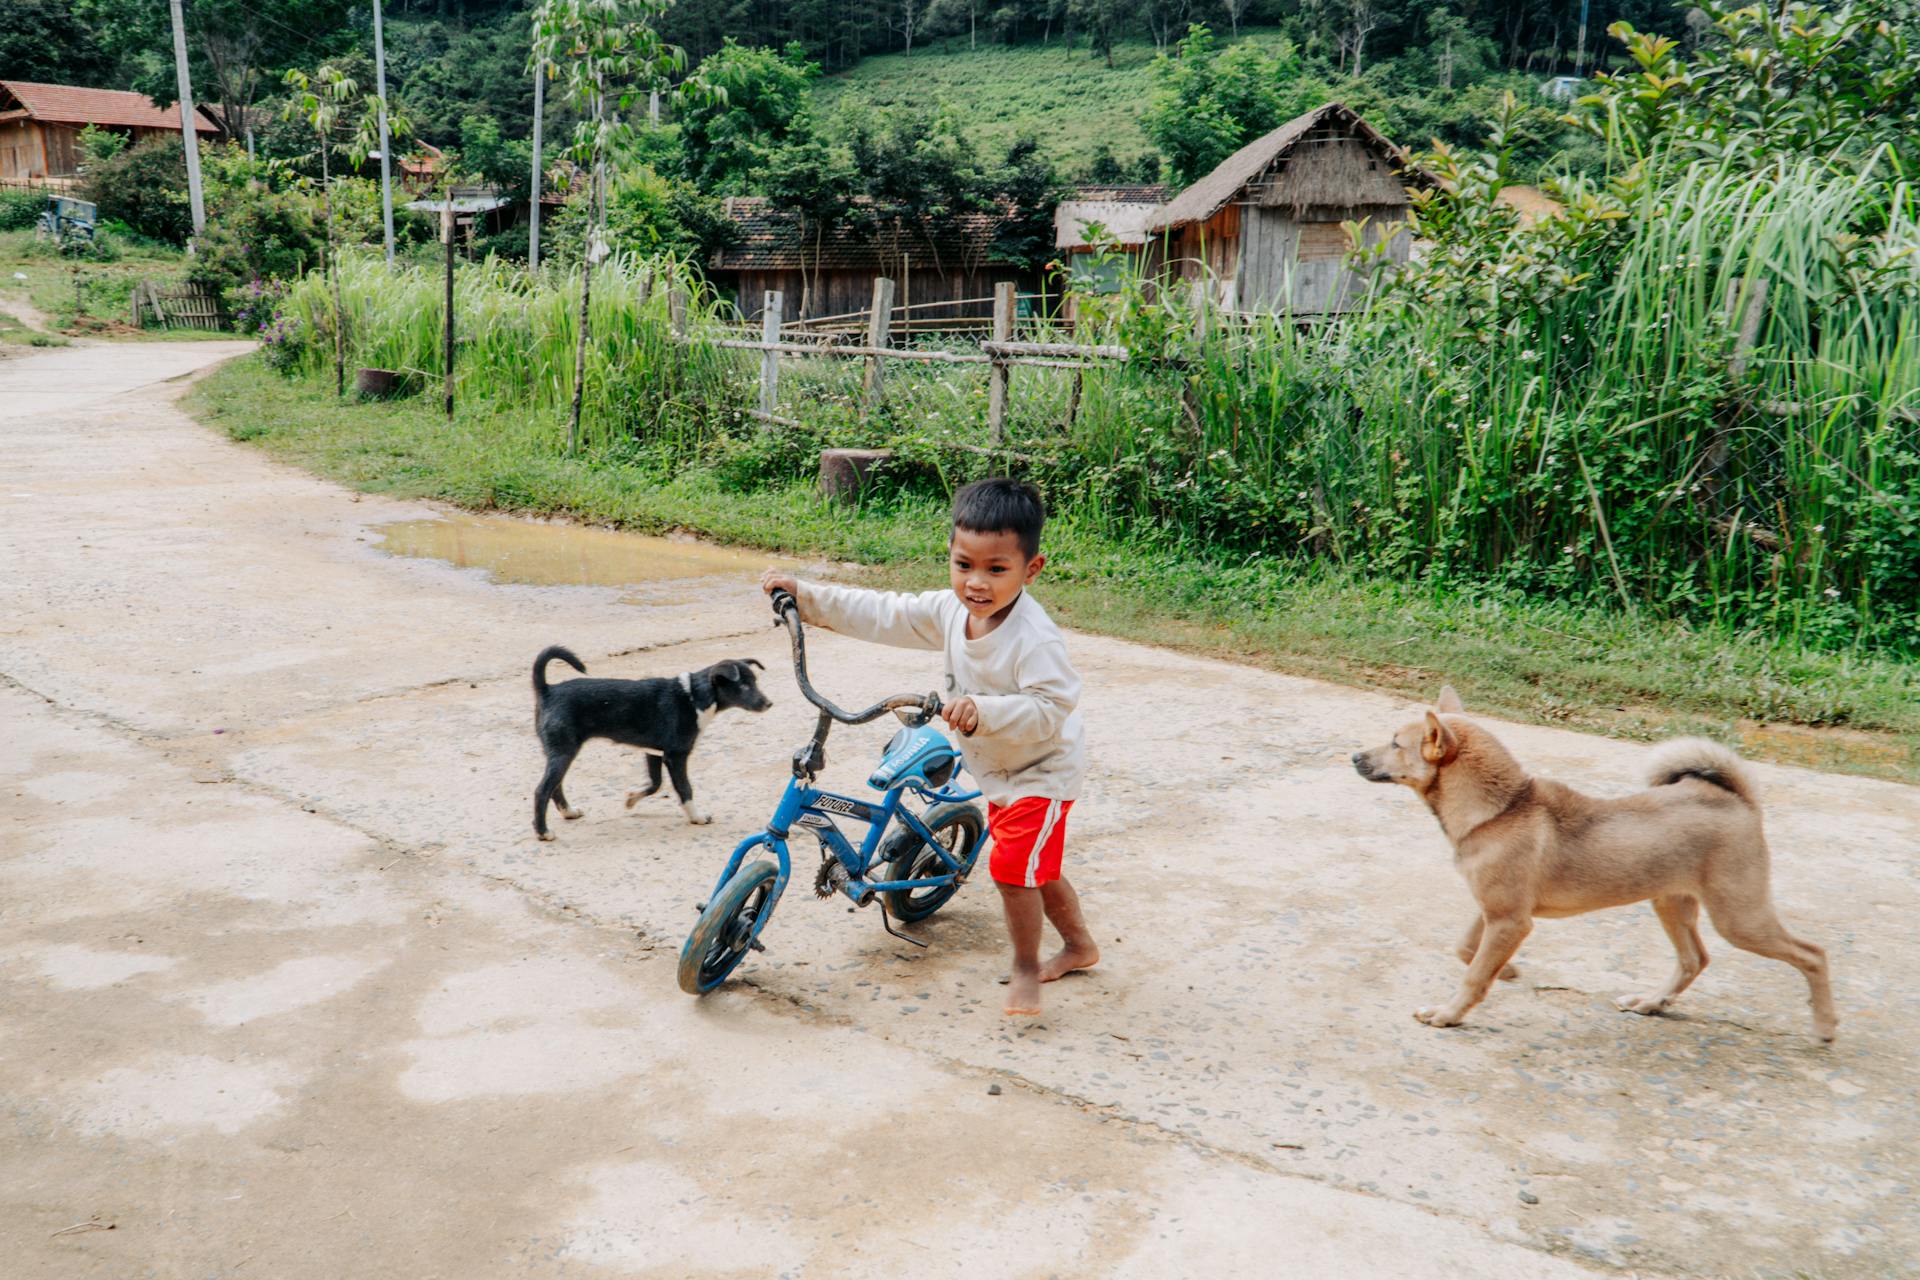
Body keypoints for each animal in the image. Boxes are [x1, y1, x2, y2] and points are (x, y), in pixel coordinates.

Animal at [529, 652, 768, 840]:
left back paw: (568, 812)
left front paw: (631, 799)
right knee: (542, 790)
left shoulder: (654, 752)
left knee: (555, 786)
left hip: (560, 752)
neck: (694, 695)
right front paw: (697, 817)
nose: (769, 703)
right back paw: (543, 832)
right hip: (564, 752)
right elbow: (685, 788)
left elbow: (655, 783)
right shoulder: (677, 755)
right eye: (744, 686)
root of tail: (547, 689)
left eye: (756, 682)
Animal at [1344, 690, 1835, 1043]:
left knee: (1813, 954)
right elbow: (1467, 951)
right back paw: (1652, 1003)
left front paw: (1448, 1015)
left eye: (1395, 743)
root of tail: (1738, 800)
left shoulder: (1509, 919)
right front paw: (1508, 971)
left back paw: (1825, 1026)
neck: (1502, 809)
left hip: (1739, 916)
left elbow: (1472, 975)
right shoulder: (1497, 912)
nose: (1353, 757)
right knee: (1694, 959)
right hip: (1671, 903)